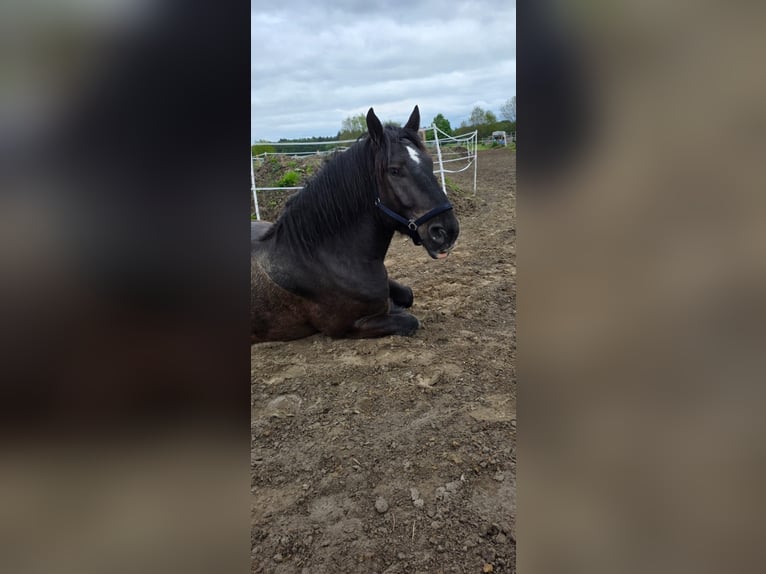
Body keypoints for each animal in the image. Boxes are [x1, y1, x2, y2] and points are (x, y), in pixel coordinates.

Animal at [251, 105, 459, 342]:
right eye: (394, 170)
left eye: (430, 163)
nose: (447, 231)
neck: (323, 257)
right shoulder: (345, 327)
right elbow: (409, 321)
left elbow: (407, 294)